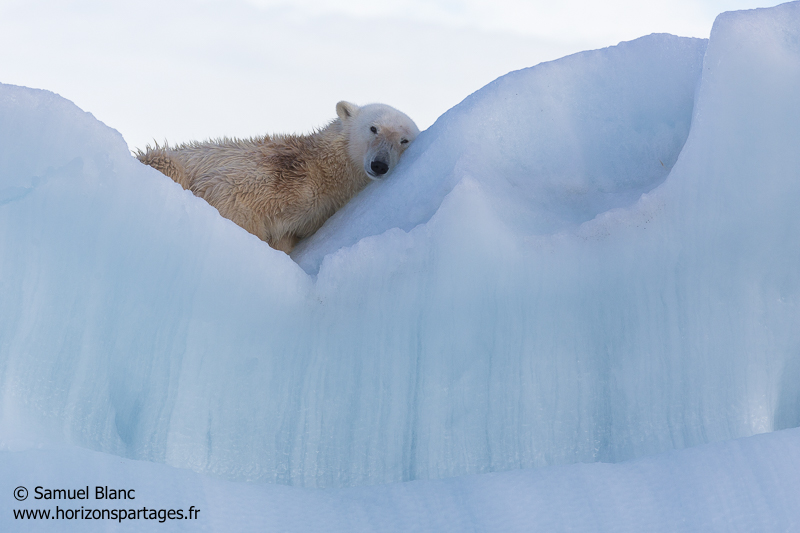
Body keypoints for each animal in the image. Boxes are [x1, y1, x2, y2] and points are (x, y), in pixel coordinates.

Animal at [138, 104, 422, 256]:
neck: (321, 166)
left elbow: (288, 235)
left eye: (404, 140)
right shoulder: (269, 176)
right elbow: (226, 193)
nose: (379, 164)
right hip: (163, 158)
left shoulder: (315, 212)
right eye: (373, 128)